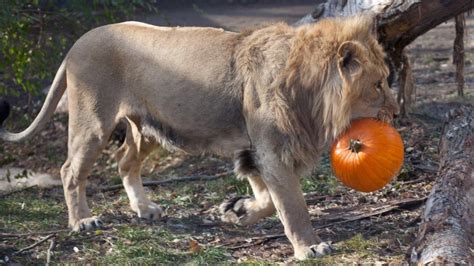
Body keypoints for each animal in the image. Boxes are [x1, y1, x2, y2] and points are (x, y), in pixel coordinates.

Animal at [0, 16, 400, 260]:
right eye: (378, 85)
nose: (396, 113)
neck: (308, 93)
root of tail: (76, 44)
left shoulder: (254, 152)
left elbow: (268, 200)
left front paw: (237, 212)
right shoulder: (271, 151)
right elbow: (291, 205)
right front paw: (310, 247)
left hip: (150, 130)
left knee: (124, 162)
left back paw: (144, 209)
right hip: (93, 123)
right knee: (70, 170)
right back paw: (82, 221)